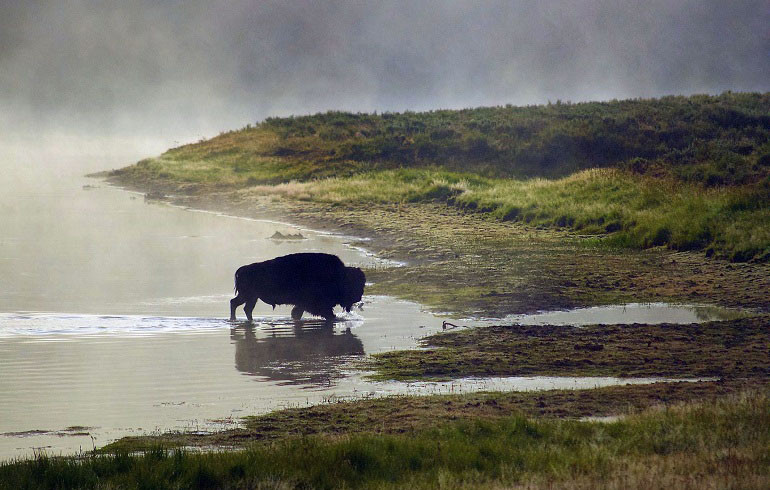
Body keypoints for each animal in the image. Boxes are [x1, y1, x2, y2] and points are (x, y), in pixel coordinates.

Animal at [228, 255, 366, 324]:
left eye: (362, 283)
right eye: (354, 284)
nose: (358, 297)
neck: (339, 275)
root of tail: (242, 270)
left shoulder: (302, 304)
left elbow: (296, 313)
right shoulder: (316, 305)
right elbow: (327, 313)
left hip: (251, 297)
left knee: (242, 306)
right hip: (249, 296)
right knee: (237, 304)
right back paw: (235, 320)